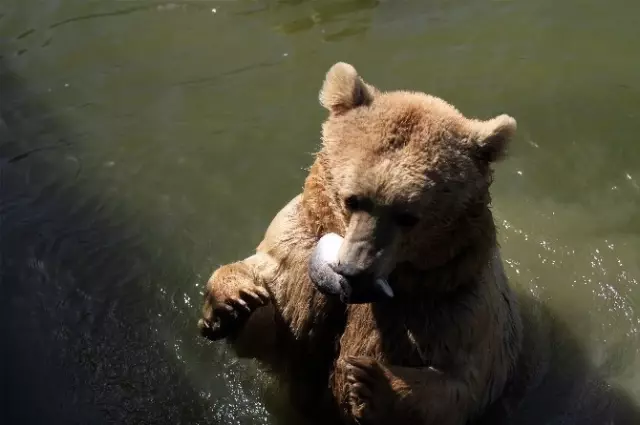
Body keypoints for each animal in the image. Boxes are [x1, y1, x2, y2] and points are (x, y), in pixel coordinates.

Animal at [200, 61, 528, 422]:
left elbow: (462, 385)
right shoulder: (299, 245)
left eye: (408, 216)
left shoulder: (453, 301)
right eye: (353, 199)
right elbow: (276, 322)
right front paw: (235, 301)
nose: (355, 270)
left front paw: (371, 379)